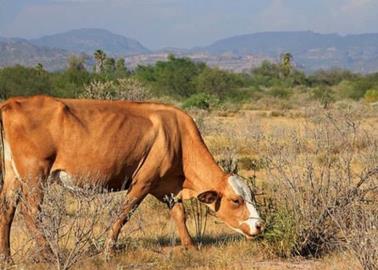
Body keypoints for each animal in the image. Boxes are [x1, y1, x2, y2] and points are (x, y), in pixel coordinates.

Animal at [0, 95, 264, 262]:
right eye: (236, 200)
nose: (259, 225)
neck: (178, 136)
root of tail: (12, 103)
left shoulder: (167, 187)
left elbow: (179, 215)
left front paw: (190, 246)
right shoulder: (143, 182)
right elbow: (123, 214)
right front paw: (108, 250)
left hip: (13, 174)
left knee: (7, 208)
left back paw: (7, 257)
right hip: (34, 175)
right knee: (31, 212)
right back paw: (48, 255)